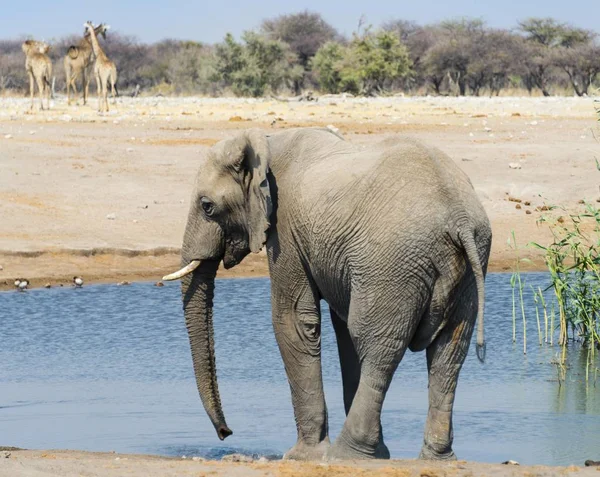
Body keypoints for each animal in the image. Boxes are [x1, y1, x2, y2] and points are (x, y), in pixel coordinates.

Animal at [164, 127, 492, 462]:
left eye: (207, 206)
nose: (226, 433)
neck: (266, 144)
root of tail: (459, 218)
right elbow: (340, 330)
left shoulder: (285, 230)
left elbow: (294, 321)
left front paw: (301, 456)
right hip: (463, 266)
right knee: (448, 353)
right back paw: (431, 457)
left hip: (394, 263)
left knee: (378, 348)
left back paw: (346, 453)